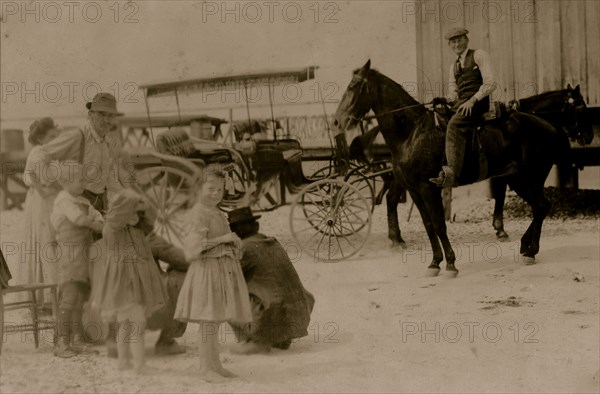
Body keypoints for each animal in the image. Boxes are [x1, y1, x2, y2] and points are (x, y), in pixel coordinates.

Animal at [336, 59, 568, 274]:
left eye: (353, 86)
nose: (338, 120)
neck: (412, 133)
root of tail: (549, 126)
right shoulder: (414, 190)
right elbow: (429, 225)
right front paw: (434, 262)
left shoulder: (428, 188)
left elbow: (439, 224)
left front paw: (450, 263)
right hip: (517, 179)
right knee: (540, 207)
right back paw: (526, 246)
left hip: (530, 178)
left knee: (540, 206)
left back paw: (530, 251)